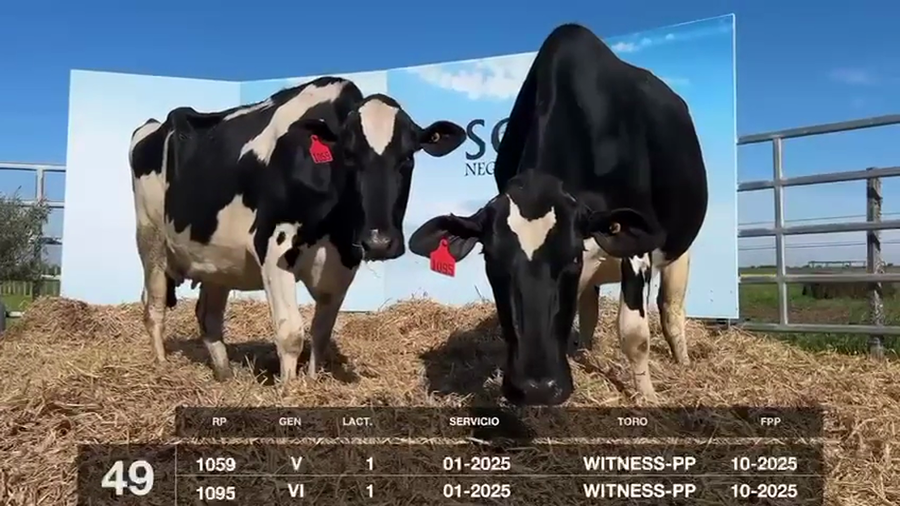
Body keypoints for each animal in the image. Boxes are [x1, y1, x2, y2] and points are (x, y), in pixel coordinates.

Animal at [129, 76, 466, 383]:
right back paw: (161, 367)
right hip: (151, 238)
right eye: (349, 156)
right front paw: (290, 390)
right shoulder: (273, 247)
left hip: (218, 259)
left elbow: (321, 333)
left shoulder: (343, 260)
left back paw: (225, 375)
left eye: (408, 158)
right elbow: (290, 333)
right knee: (154, 307)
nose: (379, 242)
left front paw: (313, 383)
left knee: (208, 316)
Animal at [408, 24, 708, 406]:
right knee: (591, 307)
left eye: (571, 258)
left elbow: (634, 333)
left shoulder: (634, 244)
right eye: (491, 262)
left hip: (679, 249)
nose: (537, 388)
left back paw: (682, 362)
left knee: (670, 307)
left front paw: (647, 397)